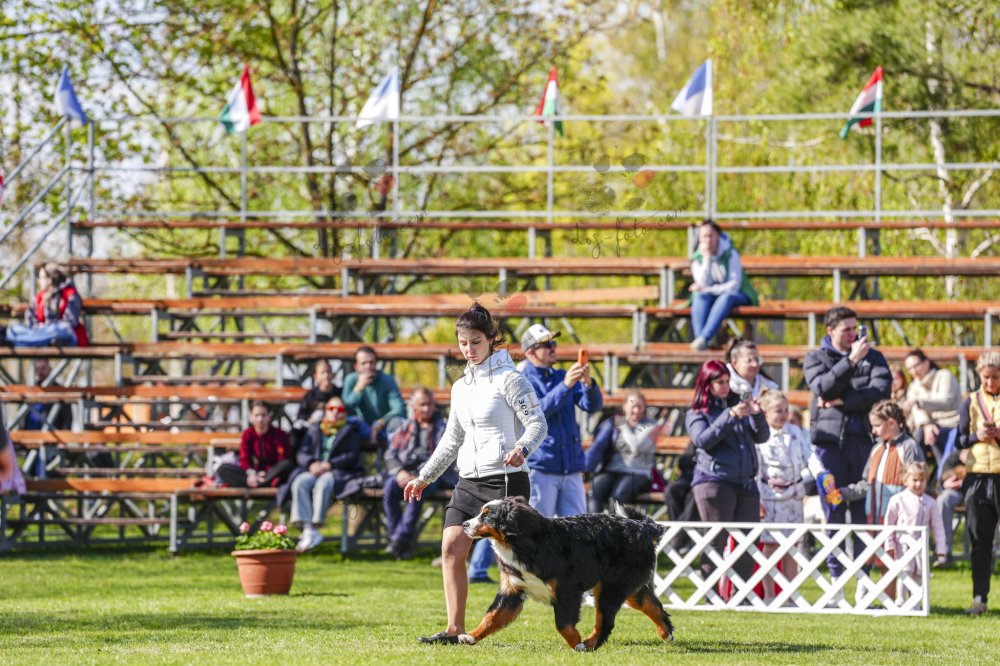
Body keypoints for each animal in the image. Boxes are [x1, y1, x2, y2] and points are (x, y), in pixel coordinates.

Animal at [460, 496, 674, 651]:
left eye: (486, 516)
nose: (464, 524)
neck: (524, 544)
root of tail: (642, 527)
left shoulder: (567, 590)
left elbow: (562, 624)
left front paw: (576, 643)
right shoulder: (512, 590)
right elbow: (492, 616)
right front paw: (471, 635)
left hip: (611, 587)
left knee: (605, 621)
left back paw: (589, 644)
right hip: (628, 586)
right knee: (652, 606)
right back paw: (666, 633)